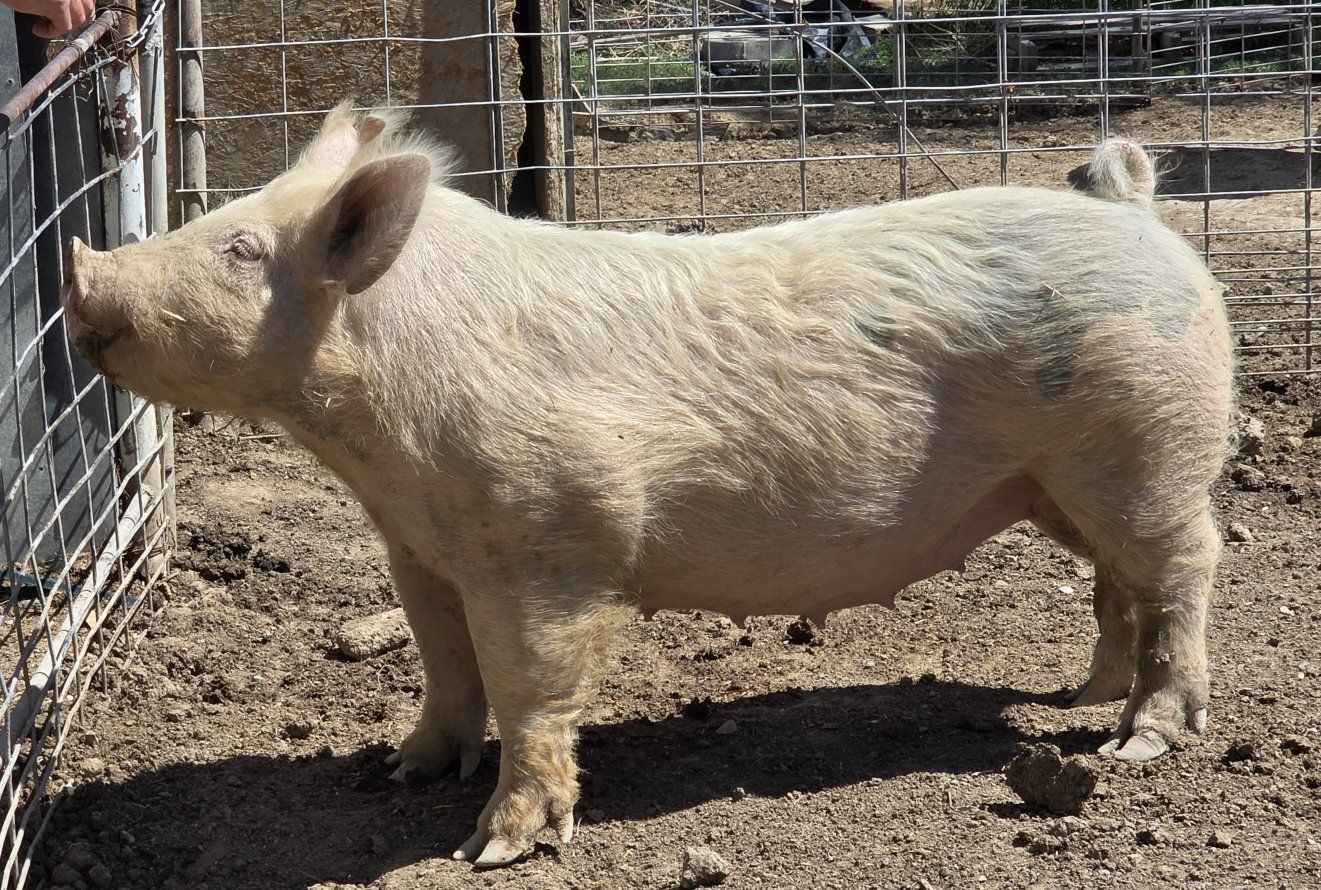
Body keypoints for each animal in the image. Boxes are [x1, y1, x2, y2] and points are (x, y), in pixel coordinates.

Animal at [63, 105, 1234, 866]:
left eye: (240, 246)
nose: (81, 267)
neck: (370, 441)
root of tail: (1135, 212)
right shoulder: (419, 547)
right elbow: (445, 666)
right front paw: (401, 772)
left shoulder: (552, 533)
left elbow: (530, 685)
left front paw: (493, 849)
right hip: (1055, 487)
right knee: (1118, 586)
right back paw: (1077, 697)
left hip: (1146, 449)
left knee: (1185, 571)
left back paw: (1134, 738)